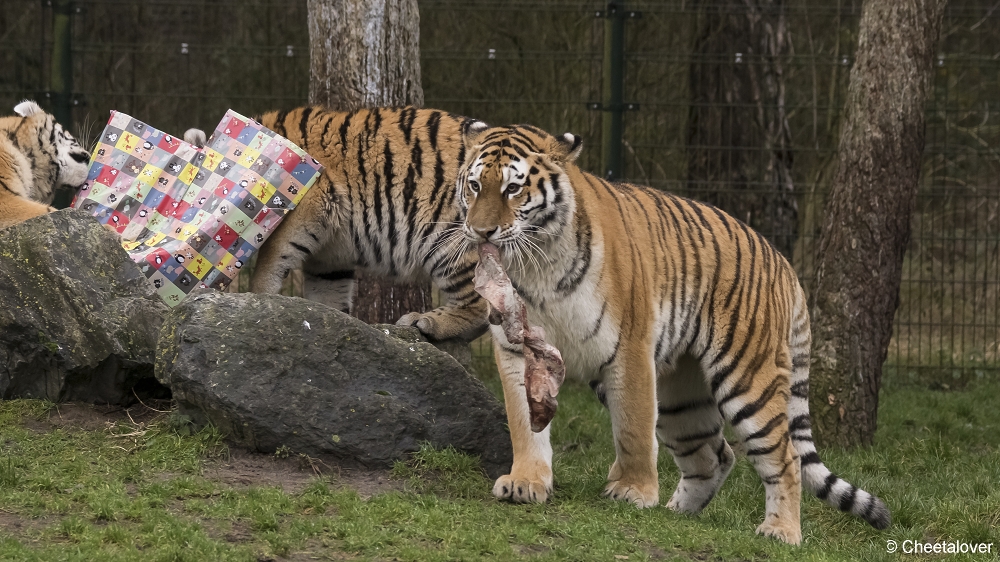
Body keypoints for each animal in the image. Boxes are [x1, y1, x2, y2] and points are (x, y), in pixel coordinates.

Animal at [187, 105, 492, 342]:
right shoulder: (329, 258)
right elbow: (328, 295)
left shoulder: (304, 211)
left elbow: (269, 266)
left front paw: (259, 304)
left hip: (450, 240)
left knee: (481, 305)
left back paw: (426, 321)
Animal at [454, 121, 892, 544]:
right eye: (475, 186)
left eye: (513, 189)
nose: (481, 231)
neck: (537, 263)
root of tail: (783, 263)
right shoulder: (517, 347)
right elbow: (524, 422)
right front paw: (526, 482)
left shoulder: (629, 346)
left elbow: (632, 427)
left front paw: (632, 491)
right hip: (680, 397)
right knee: (714, 456)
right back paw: (676, 513)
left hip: (748, 380)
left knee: (785, 458)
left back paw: (781, 532)